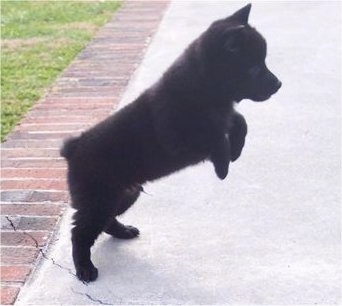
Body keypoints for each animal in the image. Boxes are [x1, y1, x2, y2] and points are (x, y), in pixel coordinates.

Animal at [60, 4, 280, 282]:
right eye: (253, 67)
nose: (279, 84)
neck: (204, 89)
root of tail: (72, 148)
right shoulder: (179, 139)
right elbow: (216, 137)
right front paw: (223, 165)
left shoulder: (224, 115)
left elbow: (239, 121)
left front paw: (236, 150)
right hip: (98, 198)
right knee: (80, 232)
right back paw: (85, 268)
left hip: (125, 194)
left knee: (106, 221)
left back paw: (123, 231)